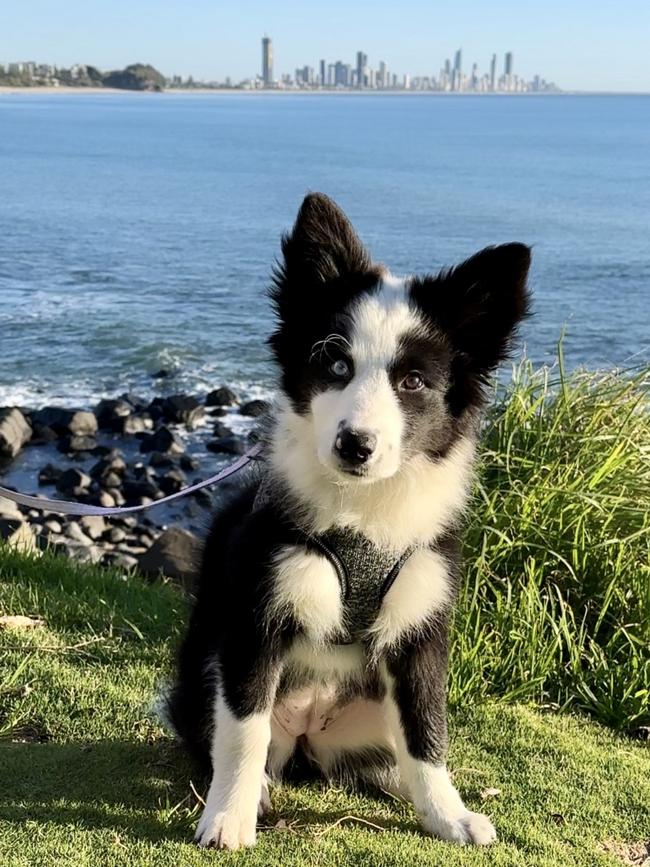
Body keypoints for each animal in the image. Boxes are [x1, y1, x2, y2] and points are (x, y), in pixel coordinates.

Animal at [170, 193, 528, 852]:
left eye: (412, 381)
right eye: (335, 364)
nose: (355, 445)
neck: (362, 514)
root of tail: (310, 733)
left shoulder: (421, 628)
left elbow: (429, 731)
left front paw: (450, 814)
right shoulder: (257, 617)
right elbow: (243, 729)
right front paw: (228, 818)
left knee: (396, 749)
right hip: (206, 663)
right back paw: (256, 791)